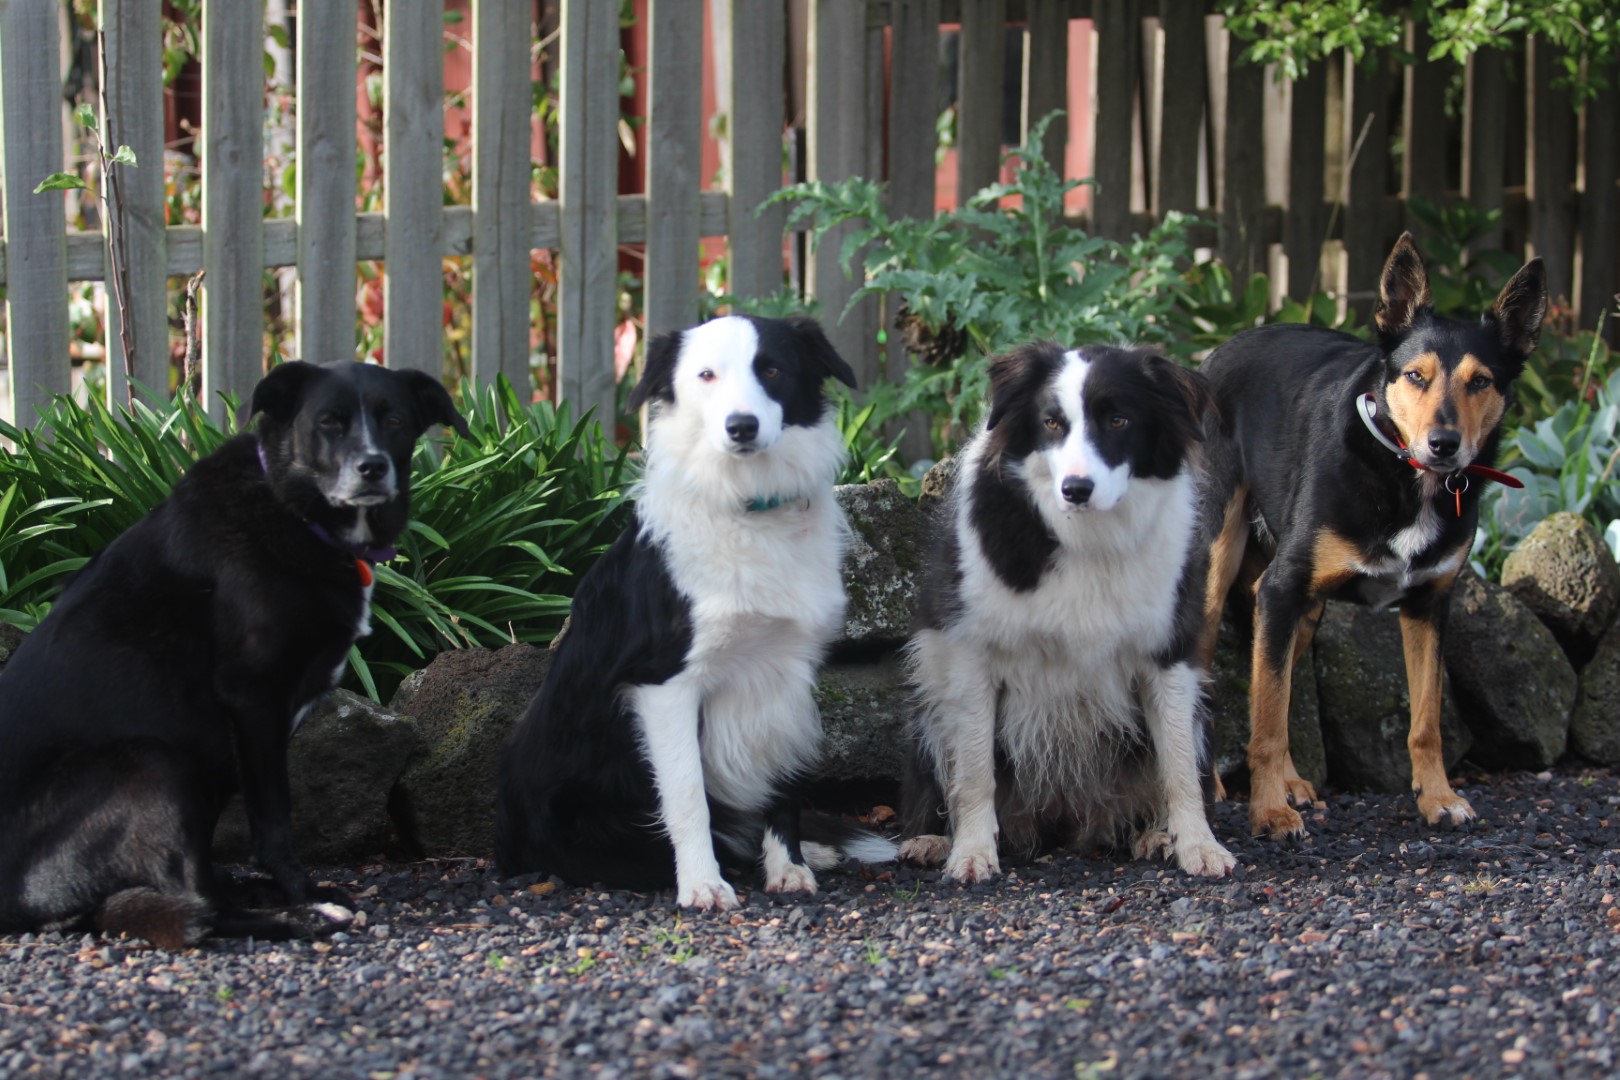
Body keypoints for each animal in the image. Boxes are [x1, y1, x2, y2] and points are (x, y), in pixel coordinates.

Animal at [0, 361, 469, 945]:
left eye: (396, 420)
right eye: (328, 421)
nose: (372, 468)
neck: (291, 507)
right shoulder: (255, 698)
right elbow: (274, 816)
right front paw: (302, 890)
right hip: (152, 760)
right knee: (197, 908)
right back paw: (303, 917)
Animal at [1198, 233, 1548, 841]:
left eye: (1481, 381)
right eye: (1415, 376)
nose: (1443, 444)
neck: (1406, 476)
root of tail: (1218, 352)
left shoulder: (1428, 605)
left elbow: (1426, 718)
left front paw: (1438, 797)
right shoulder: (1281, 591)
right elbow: (1267, 722)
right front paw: (1267, 812)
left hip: (1302, 609)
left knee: (1280, 688)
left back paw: (1291, 781)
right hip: (1219, 575)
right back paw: (1212, 785)